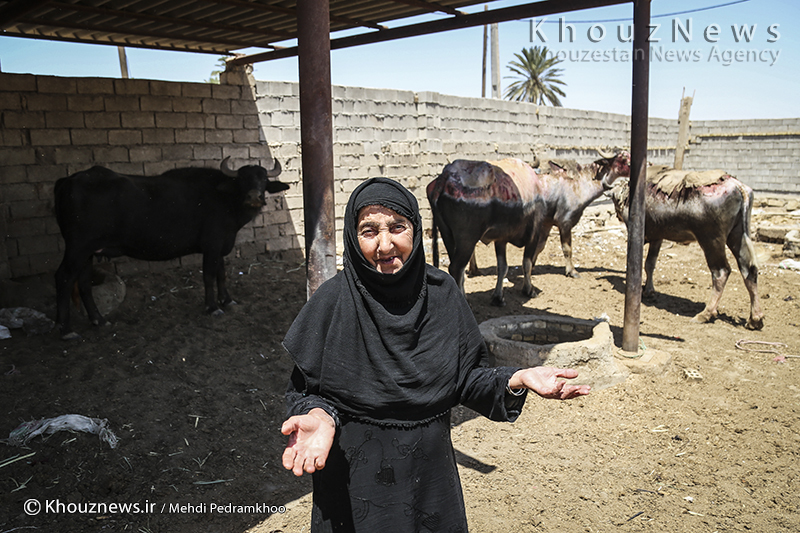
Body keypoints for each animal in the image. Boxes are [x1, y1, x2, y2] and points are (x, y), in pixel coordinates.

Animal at [53, 158, 286, 338]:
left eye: (263, 179)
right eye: (241, 180)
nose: (254, 197)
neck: (224, 198)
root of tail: (68, 180)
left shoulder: (220, 245)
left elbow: (222, 273)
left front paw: (227, 301)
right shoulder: (211, 245)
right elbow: (209, 275)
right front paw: (212, 307)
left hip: (89, 252)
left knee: (84, 282)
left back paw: (99, 320)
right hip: (78, 248)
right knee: (64, 277)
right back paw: (65, 330)